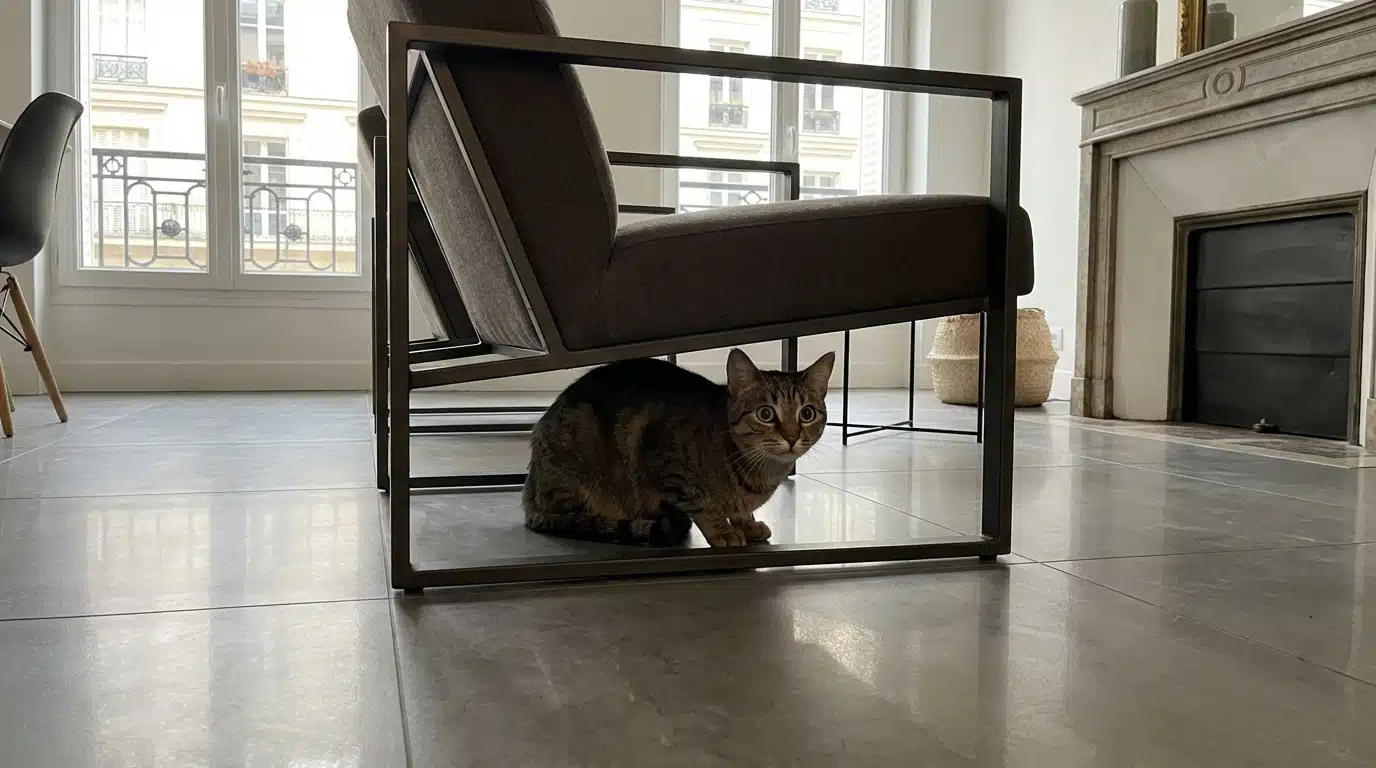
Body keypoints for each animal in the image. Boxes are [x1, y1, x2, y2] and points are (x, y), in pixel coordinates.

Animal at [522, 348, 835, 548]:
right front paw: (722, 529)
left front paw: (747, 523)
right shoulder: (665, 463)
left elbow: (740, 511)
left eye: (807, 414)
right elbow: (702, 503)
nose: (792, 437)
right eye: (766, 414)